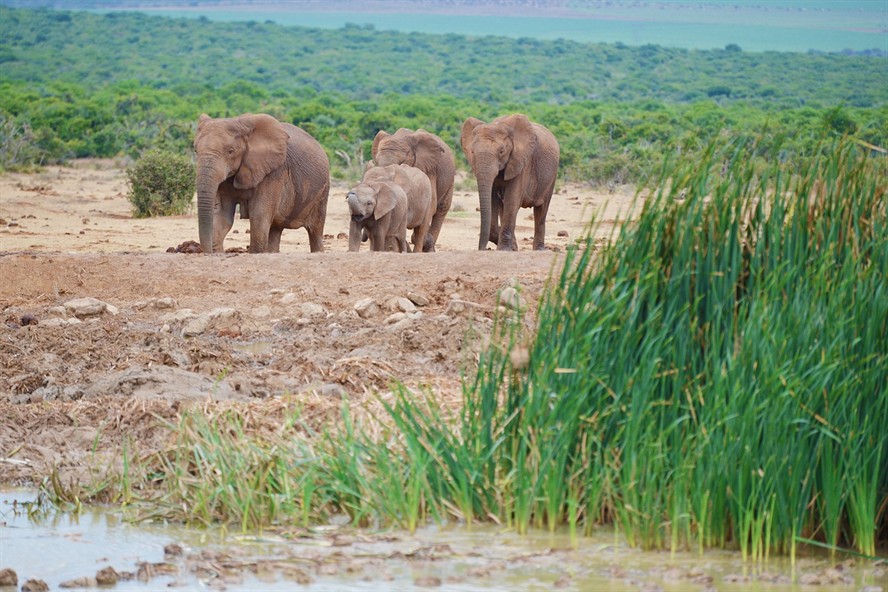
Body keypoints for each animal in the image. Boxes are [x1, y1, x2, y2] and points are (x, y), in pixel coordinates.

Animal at [193, 113, 330, 254]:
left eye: (230, 151)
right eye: (195, 150)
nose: (209, 253)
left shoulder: (273, 172)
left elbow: (258, 217)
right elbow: (222, 217)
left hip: (322, 191)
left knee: (315, 230)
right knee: (275, 228)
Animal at [460, 114, 560, 251]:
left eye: (501, 152)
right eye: (472, 152)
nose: (482, 248)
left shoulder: (521, 161)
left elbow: (511, 200)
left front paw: (503, 250)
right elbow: (493, 200)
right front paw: (510, 248)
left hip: (552, 175)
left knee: (541, 210)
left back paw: (539, 250)